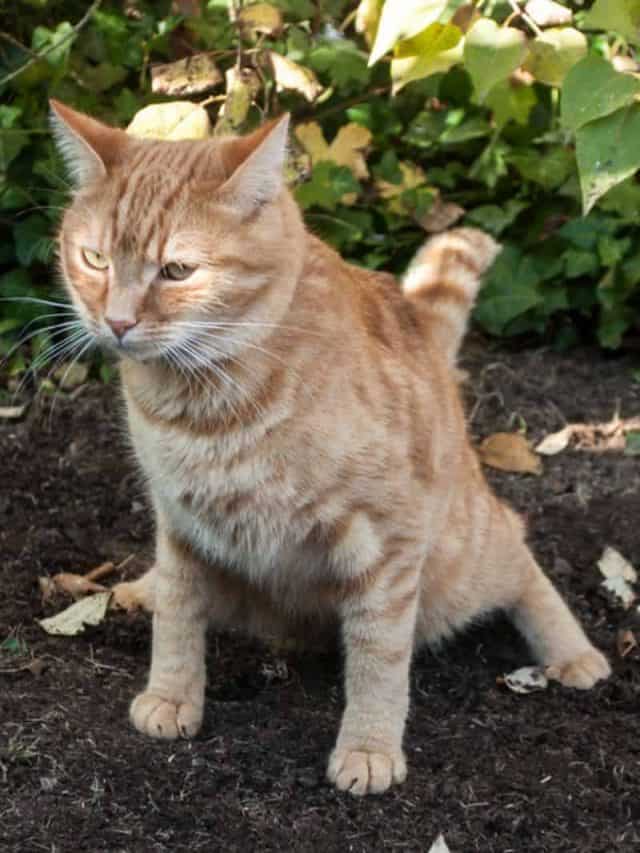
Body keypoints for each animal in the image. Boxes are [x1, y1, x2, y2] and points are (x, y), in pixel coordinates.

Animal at [51, 101, 608, 800]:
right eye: (94, 258)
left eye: (178, 270)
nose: (118, 322)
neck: (209, 402)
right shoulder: (178, 520)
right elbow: (178, 611)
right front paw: (173, 694)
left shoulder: (388, 541)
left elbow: (379, 656)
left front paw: (369, 748)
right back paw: (139, 589)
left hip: (464, 558)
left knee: (519, 553)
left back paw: (572, 653)